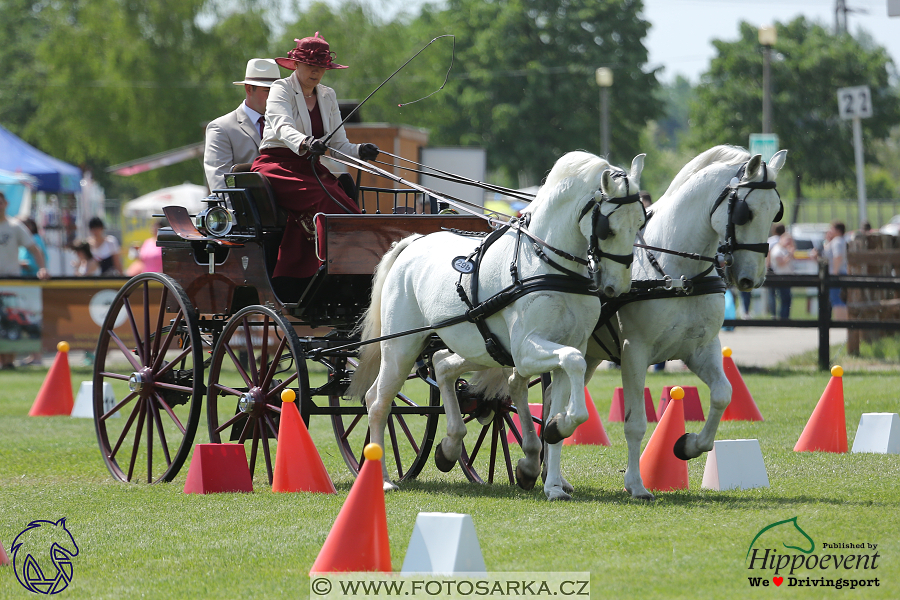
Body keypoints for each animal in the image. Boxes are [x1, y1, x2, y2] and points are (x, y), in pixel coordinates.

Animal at [348, 150, 652, 492]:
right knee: (378, 402)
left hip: (480, 349)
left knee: (440, 366)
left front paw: (554, 457)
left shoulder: (564, 346)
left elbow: (563, 387)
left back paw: (449, 447)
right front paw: (551, 450)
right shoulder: (526, 350)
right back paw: (384, 480)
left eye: (641, 222)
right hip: (401, 347)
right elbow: (572, 361)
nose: (618, 287)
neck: (548, 265)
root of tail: (412, 243)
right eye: (606, 229)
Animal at [580, 145, 784, 502]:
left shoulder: (701, 349)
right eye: (744, 212)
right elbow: (635, 423)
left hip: (589, 356)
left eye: (776, 213)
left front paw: (688, 444)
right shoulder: (634, 353)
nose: (752, 279)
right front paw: (636, 484)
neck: (675, 273)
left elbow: (723, 394)